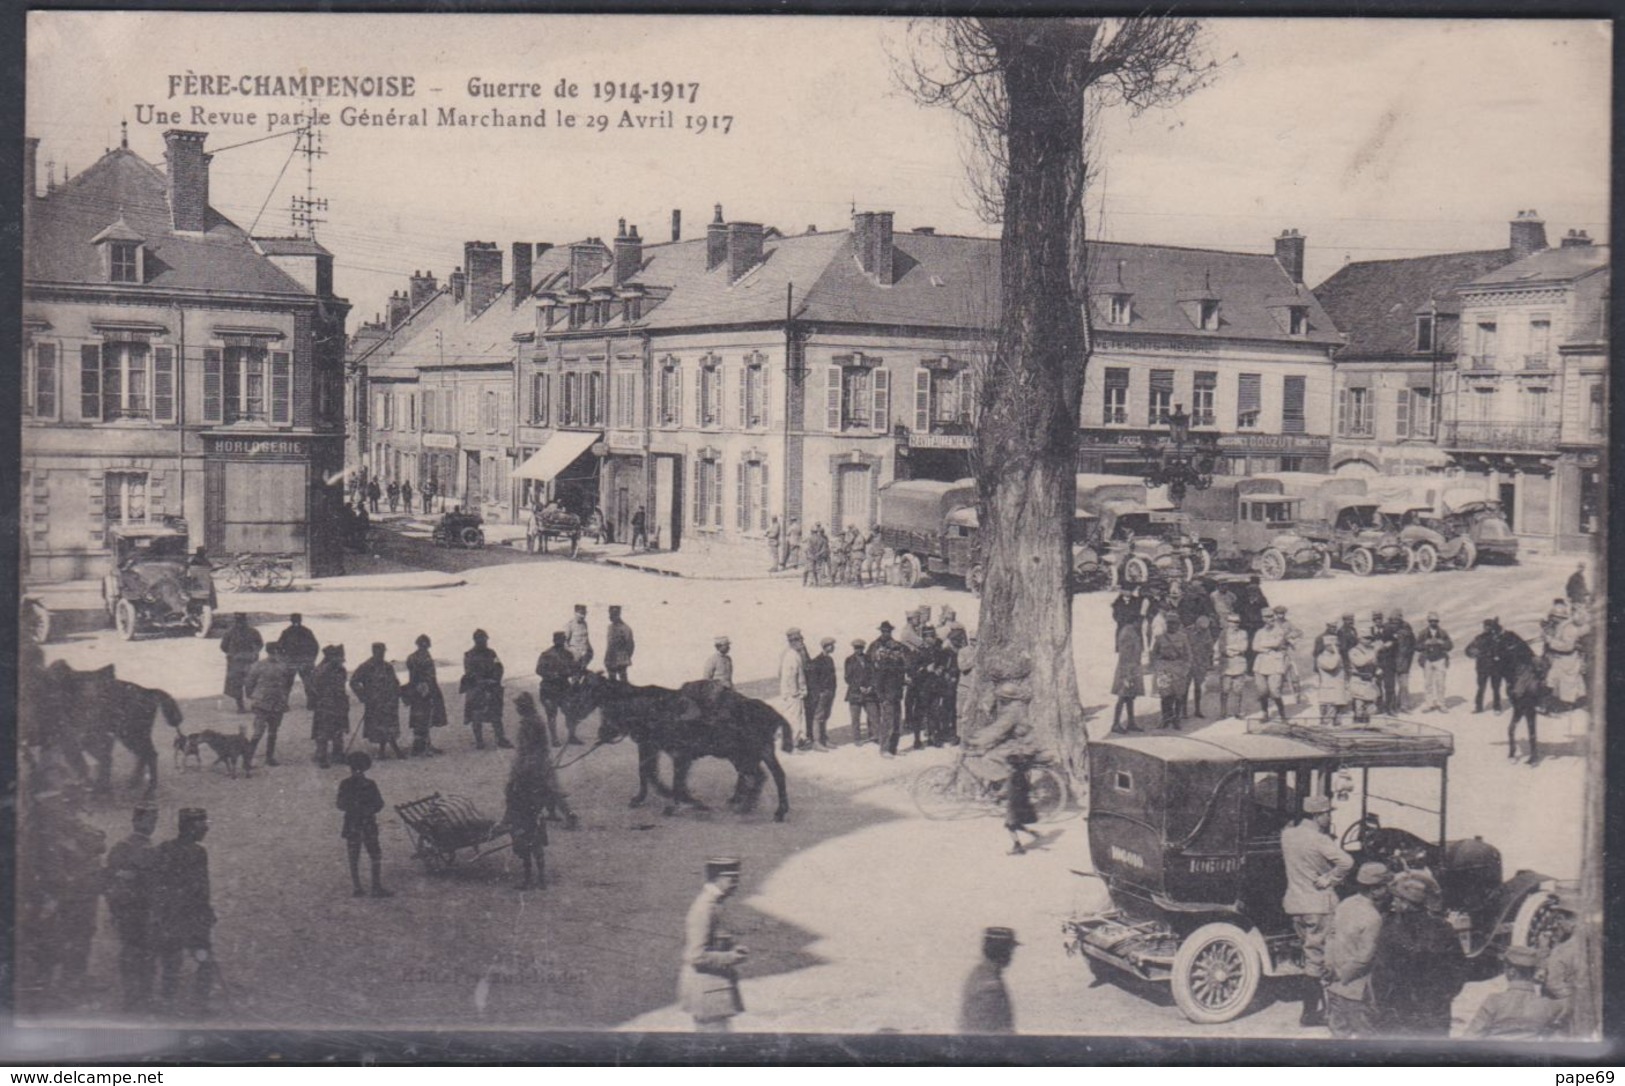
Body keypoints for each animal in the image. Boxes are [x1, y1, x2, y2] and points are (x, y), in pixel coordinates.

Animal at [27, 656, 182, 793]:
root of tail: (149, 691)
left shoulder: (70, 740)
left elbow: (80, 763)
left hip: (130, 735)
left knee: (149, 754)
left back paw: (148, 787)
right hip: (130, 736)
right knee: (142, 755)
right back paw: (132, 783)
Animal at [581, 673, 796, 819]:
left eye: (609, 708)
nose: (602, 733)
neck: (651, 707)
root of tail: (773, 712)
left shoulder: (678, 754)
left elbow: (672, 780)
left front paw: (681, 803)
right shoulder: (651, 747)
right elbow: (648, 772)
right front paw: (643, 798)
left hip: (750, 753)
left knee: (764, 775)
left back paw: (758, 807)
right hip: (750, 753)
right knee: (766, 774)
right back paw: (752, 804)